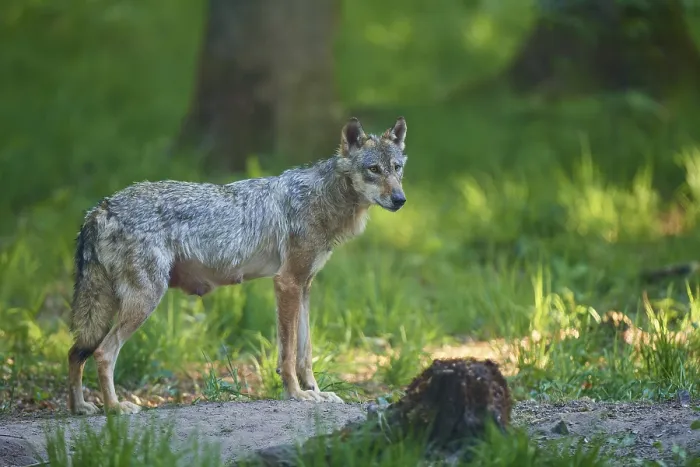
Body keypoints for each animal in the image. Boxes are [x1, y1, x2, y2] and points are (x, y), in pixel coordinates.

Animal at [67, 116, 409, 415]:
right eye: (373, 170)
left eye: (397, 169)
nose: (400, 199)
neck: (322, 197)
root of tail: (99, 208)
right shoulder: (286, 283)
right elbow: (288, 355)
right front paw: (296, 395)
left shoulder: (304, 286)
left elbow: (306, 353)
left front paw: (316, 392)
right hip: (144, 301)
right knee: (103, 353)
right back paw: (114, 408)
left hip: (110, 307)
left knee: (75, 352)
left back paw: (80, 408)